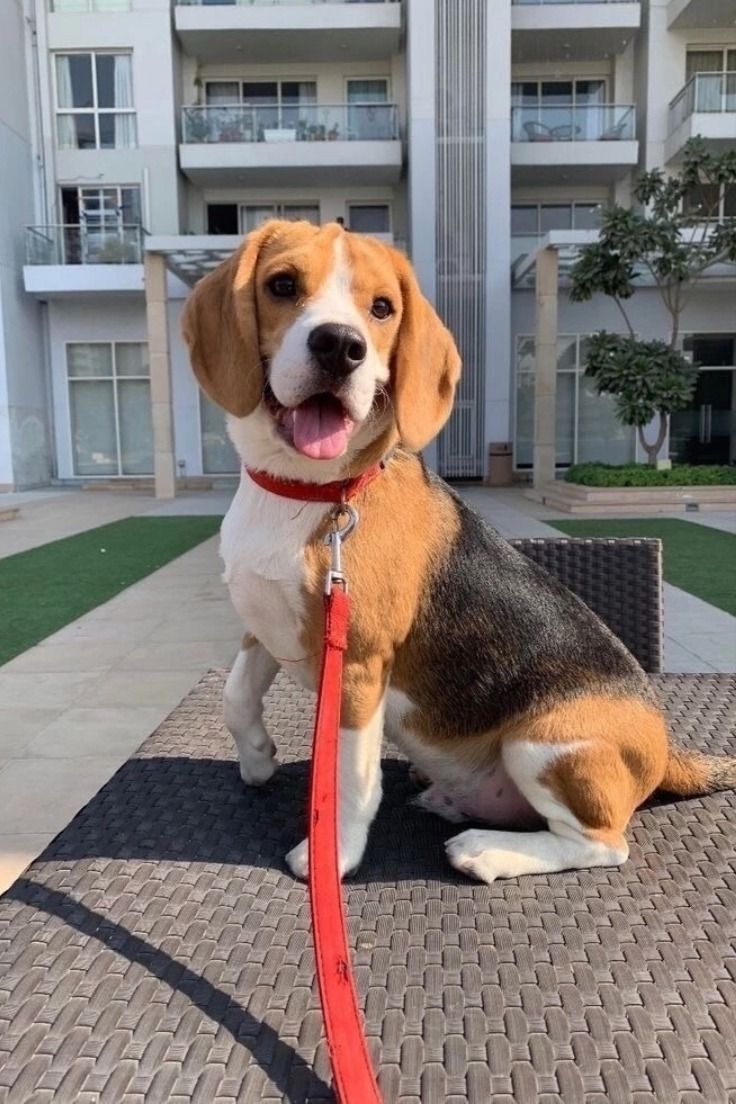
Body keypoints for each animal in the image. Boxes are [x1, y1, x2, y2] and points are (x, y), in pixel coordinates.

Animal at [180, 219, 732, 883]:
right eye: (282, 285)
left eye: (382, 308)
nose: (341, 346)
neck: (307, 490)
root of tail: (666, 749)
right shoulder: (266, 624)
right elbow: (235, 696)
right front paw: (258, 758)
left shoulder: (358, 667)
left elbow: (347, 780)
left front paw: (332, 855)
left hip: (545, 743)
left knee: (604, 844)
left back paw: (487, 848)